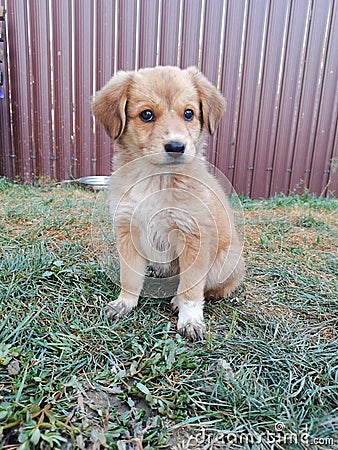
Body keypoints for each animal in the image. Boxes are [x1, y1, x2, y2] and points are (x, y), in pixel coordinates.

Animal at [93, 66, 244, 342]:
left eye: (189, 113)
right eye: (147, 114)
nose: (176, 146)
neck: (156, 180)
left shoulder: (195, 236)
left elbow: (192, 288)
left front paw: (191, 319)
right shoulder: (127, 230)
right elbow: (129, 276)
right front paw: (124, 303)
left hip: (225, 261)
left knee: (211, 288)